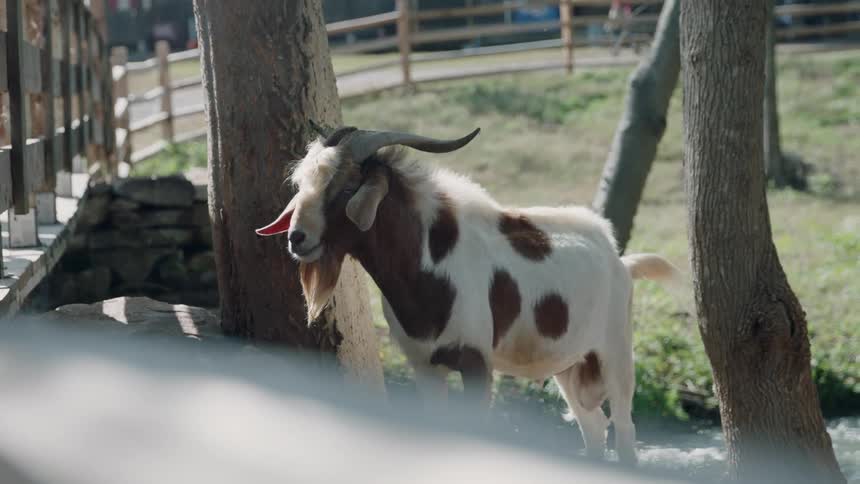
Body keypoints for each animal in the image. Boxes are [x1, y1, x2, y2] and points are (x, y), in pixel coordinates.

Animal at [255, 123, 688, 465]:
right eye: (302, 186)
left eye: (347, 187)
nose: (297, 238)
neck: (429, 262)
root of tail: (620, 261)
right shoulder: (424, 366)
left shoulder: (477, 362)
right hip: (568, 363)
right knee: (594, 426)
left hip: (615, 352)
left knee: (625, 428)